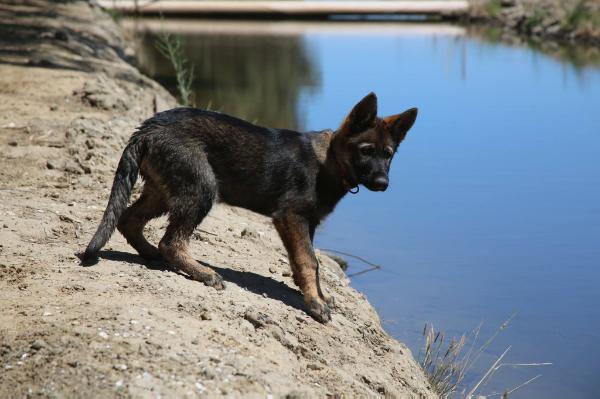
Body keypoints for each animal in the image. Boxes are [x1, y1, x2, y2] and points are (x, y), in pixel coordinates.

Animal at [82, 92, 418, 324]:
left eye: (388, 154)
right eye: (366, 151)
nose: (383, 182)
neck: (330, 163)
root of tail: (147, 129)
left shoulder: (305, 223)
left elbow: (304, 261)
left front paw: (315, 294)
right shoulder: (291, 216)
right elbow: (310, 261)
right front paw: (316, 303)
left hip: (164, 190)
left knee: (129, 219)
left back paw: (151, 254)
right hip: (201, 189)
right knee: (171, 241)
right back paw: (201, 272)